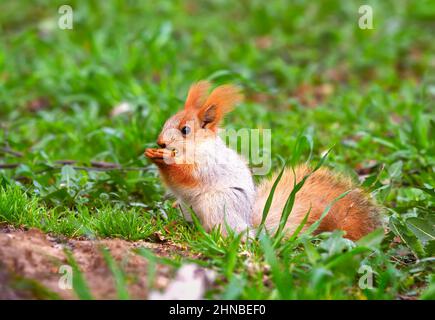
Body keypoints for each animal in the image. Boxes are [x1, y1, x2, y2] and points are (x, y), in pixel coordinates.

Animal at [146, 80, 382, 240]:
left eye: (185, 130)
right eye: (167, 121)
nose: (160, 142)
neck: (195, 148)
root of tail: (250, 225)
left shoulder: (207, 165)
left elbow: (185, 176)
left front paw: (163, 158)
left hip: (217, 205)